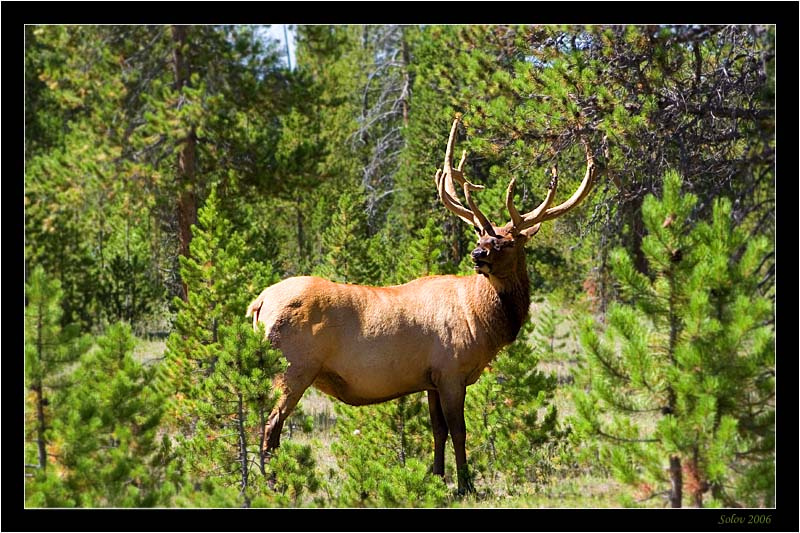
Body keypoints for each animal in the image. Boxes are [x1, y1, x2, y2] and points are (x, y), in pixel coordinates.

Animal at [246, 115, 596, 494]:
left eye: (507, 242)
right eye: (480, 234)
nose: (477, 254)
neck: (483, 323)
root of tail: (258, 303)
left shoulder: (429, 379)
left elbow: (437, 431)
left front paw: (438, 477)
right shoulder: (451, 370)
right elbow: (459, 431)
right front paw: (466, 485)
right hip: (293, 367)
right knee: (270, 425)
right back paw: (272, 485)